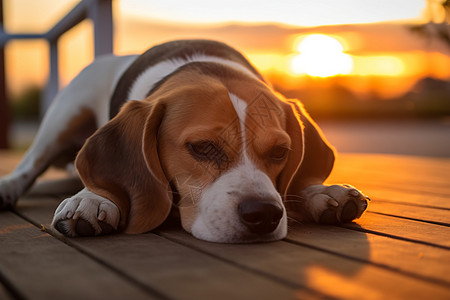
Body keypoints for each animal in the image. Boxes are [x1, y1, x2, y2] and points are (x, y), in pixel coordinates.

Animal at [0, 39, 370, 244]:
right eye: (202, 147)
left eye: (280, 151)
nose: (264, 214)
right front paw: (91, 198)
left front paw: (319, 192)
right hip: (65, 112)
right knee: (29, 165)